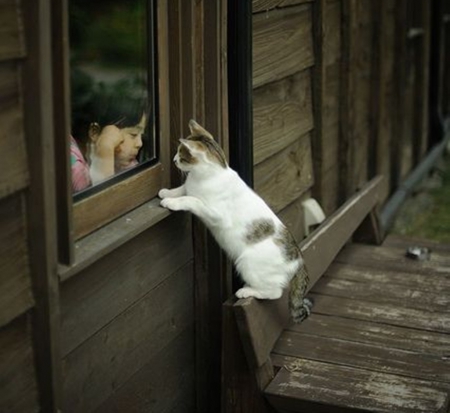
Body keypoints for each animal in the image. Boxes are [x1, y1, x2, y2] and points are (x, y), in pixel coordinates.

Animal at [159, 119, 312, 322]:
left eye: (182, 156)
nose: (174, 160)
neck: (209, 175)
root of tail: (298, 259)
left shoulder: (216, 214)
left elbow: (192, 199)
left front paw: (172, 202)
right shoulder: (190, 187)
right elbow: (184, 189)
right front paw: (168, 193)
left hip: (247, 263)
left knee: (274, 293)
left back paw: (247, 291)